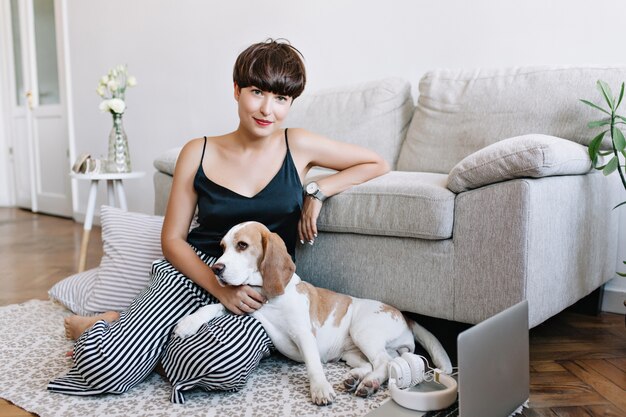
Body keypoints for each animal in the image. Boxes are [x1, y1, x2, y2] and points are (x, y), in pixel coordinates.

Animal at [173, 223, 450, 404]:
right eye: (222, 247)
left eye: (242, 245)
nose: (216, 269)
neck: (269, 298)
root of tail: (405, 315)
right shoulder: (245, 307)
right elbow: (213, 306)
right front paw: (188, 323)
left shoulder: (303, 334)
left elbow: (313, 365)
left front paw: (320, 389)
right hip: (352, 353)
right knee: (379, 362)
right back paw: (355, 378)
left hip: (363, 331)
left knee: (383, 362)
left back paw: (368, 383)